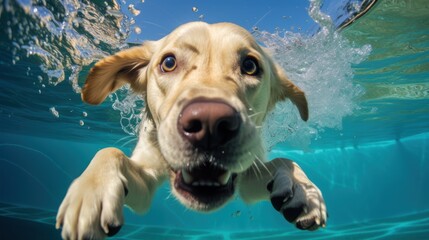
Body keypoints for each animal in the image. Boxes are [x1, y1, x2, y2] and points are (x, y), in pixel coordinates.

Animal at [55, 21, 326, 239]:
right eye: (169, 63)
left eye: (250, 66)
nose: (210, 125)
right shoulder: (146, 180)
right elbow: (110, 151)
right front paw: (91, 191)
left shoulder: (248, 176)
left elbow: (284, 160)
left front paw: (303, 188)